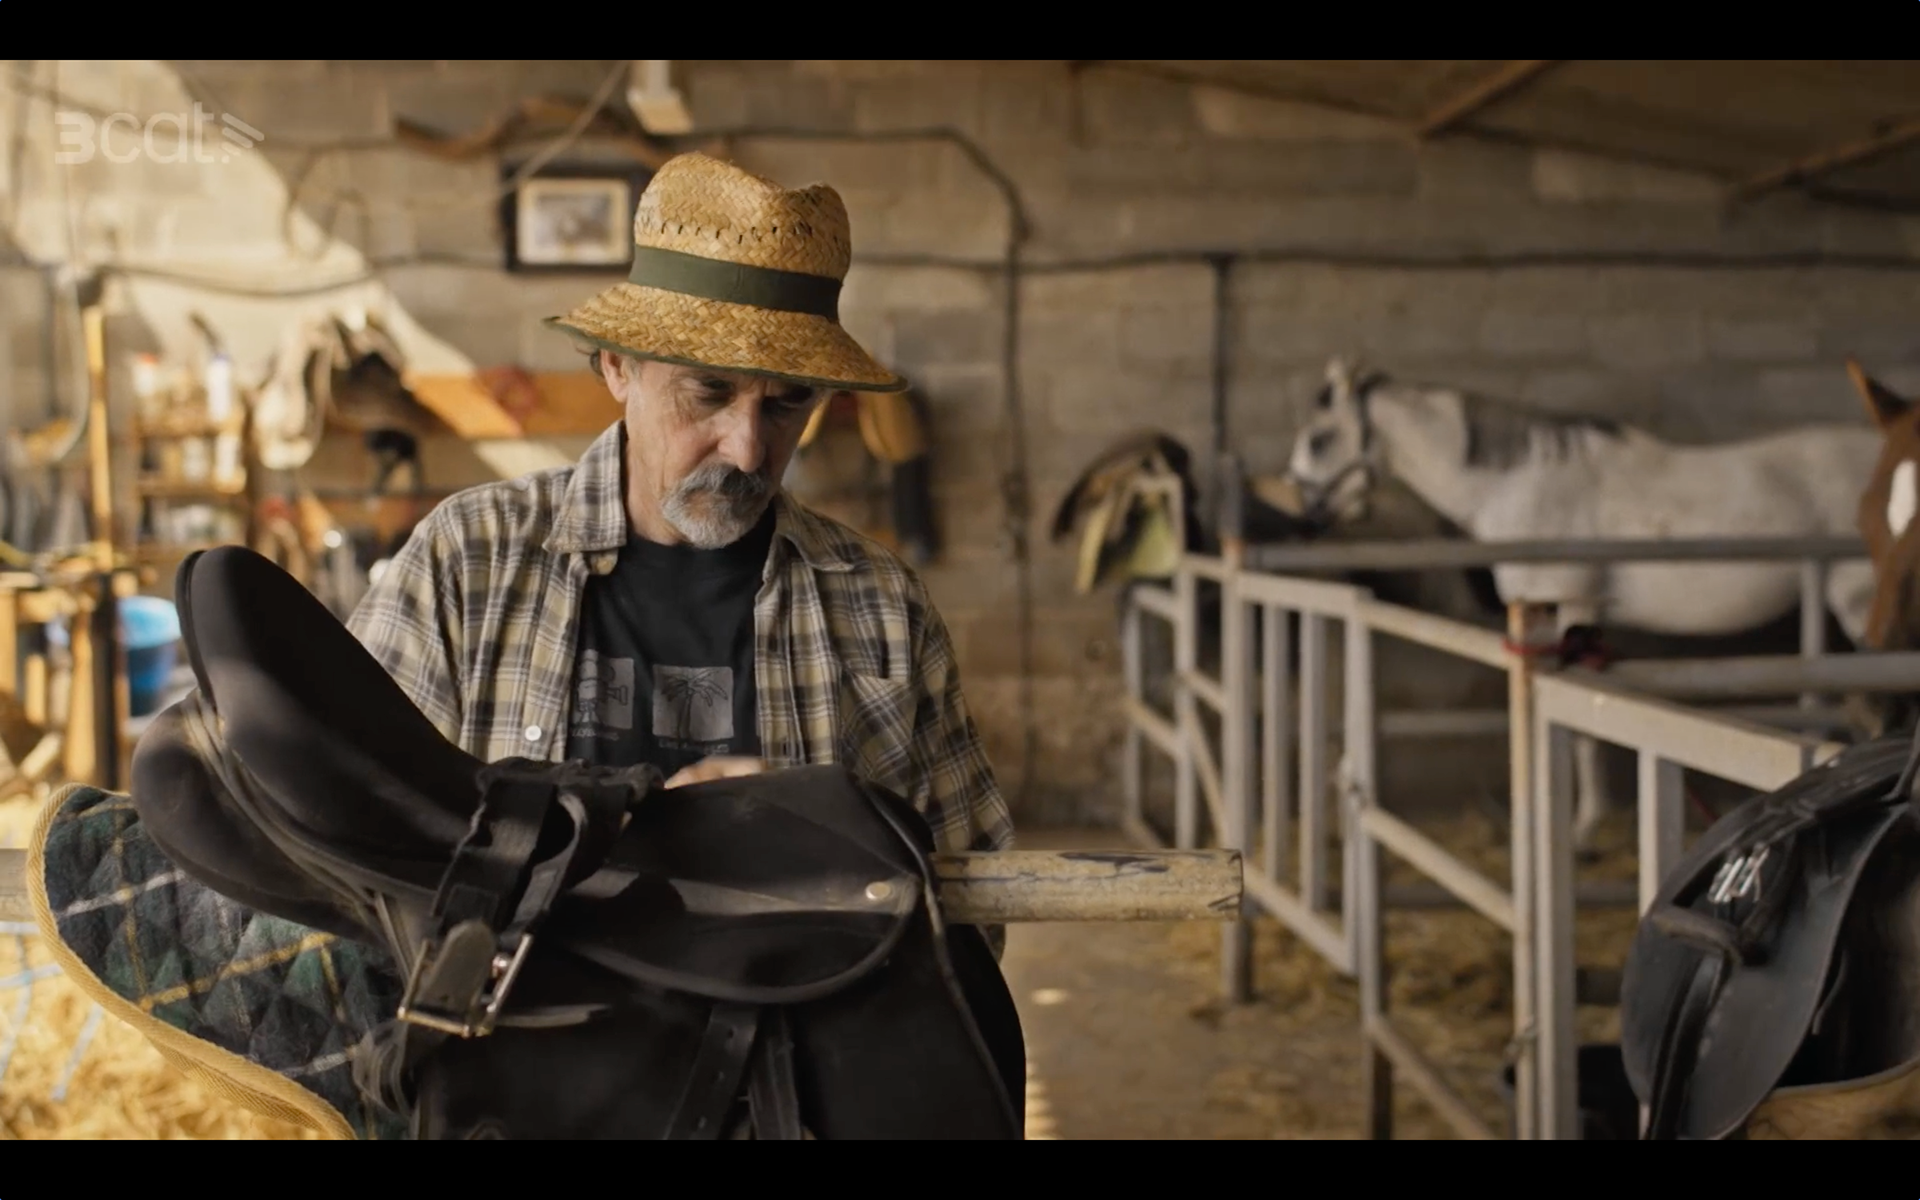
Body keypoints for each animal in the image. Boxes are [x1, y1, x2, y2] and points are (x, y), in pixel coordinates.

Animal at [1278, 356, 1883, 858]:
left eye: (1319, 439)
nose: (1304, 513)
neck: (1516, 485)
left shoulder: (1567, 602)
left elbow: (1584, 735)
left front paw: (1581, 833)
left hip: (1860, 601)